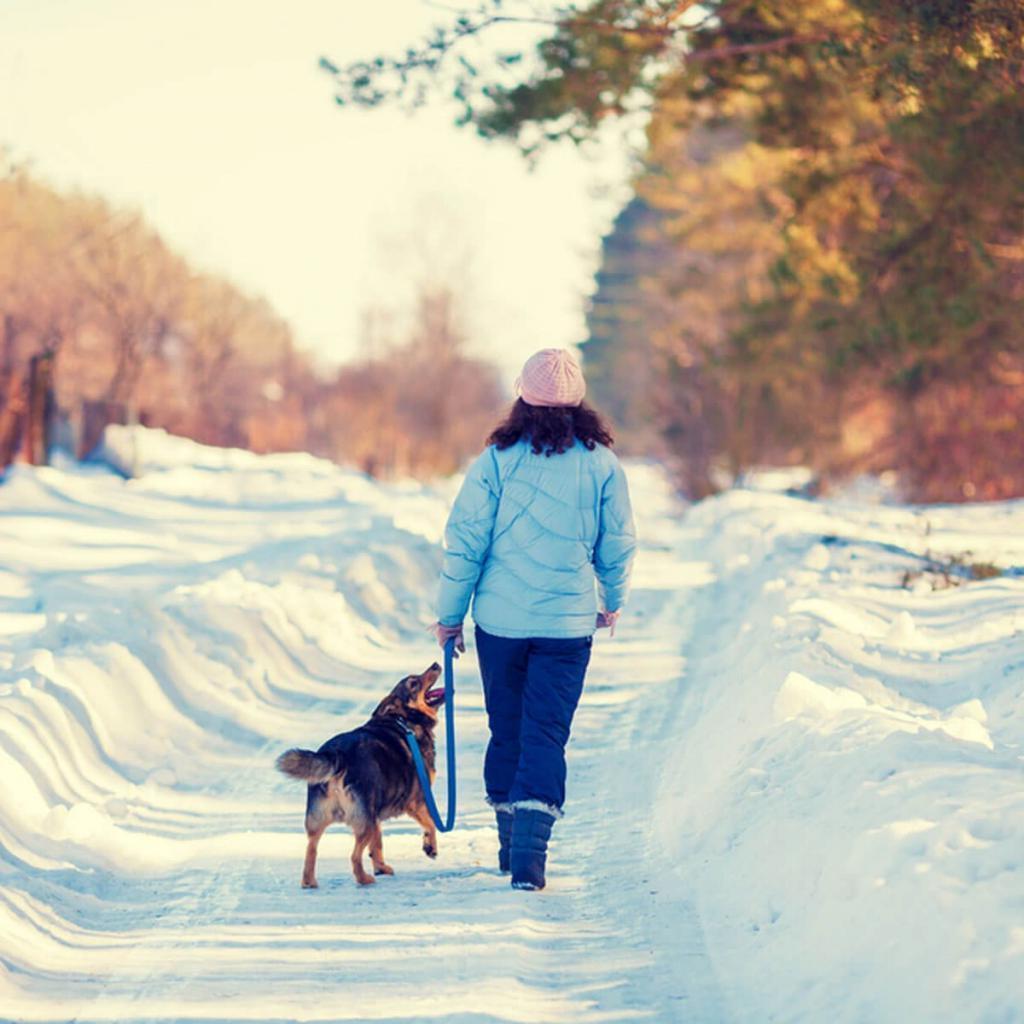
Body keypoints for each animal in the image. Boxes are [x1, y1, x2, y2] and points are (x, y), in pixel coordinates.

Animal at [274, 663, 446, 888]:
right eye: (413, 683)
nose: (435, 664)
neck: (403, 720)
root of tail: (337, 753)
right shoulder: (416, 801)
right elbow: (430, 823)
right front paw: (430, 847)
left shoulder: (377, 813)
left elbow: (377, 845)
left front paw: (381, 867)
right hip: (365, 821)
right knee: (354, 856)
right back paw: (364, 879)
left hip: (321, 820)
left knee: (311, 850)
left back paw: (310, 882)